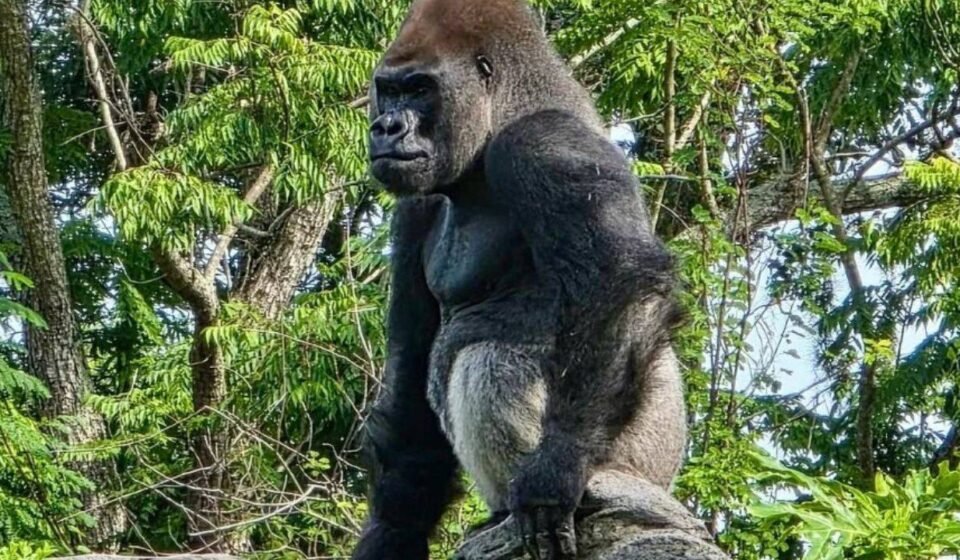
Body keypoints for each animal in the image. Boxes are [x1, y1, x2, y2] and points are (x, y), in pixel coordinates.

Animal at [350, 0, 686, 558]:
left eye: (420, 89)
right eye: (391, 90)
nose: (386, 127)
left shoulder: (544, 144)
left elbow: (618, 280)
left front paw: (556, 469)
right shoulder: (416, 206)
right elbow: (411, 373)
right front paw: (391, 530)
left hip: (640, 465)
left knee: (488, 359)